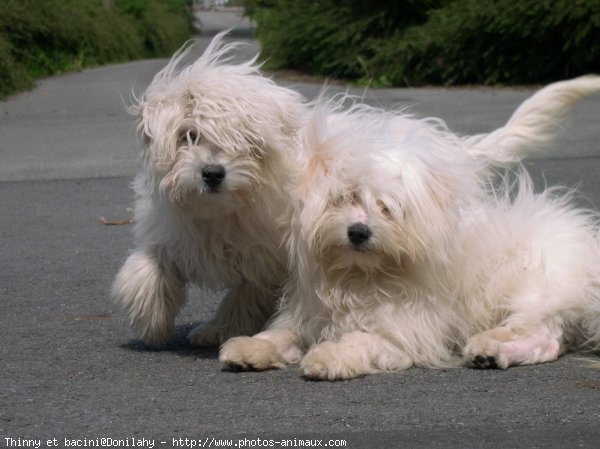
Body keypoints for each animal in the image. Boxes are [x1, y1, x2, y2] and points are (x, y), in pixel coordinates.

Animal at [111, 33, 304, 348]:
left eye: (243, 140)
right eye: (189, 135)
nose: (213, 173)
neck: (215, 212)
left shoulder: (263, 259)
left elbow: (245, 296)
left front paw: (221, 329)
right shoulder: (171, 233)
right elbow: (150, 266)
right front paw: (152, 321)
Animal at [219, 76, 600, 378]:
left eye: (388, 208)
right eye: (345, 196)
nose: (359, 232)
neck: (361, 276)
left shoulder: (406, 332)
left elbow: (363, 340)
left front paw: (329, 356)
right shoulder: (308, 314)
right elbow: (280, 334)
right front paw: (248, 349)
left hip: (533, 290)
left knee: (543, 336)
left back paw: (488, 348)